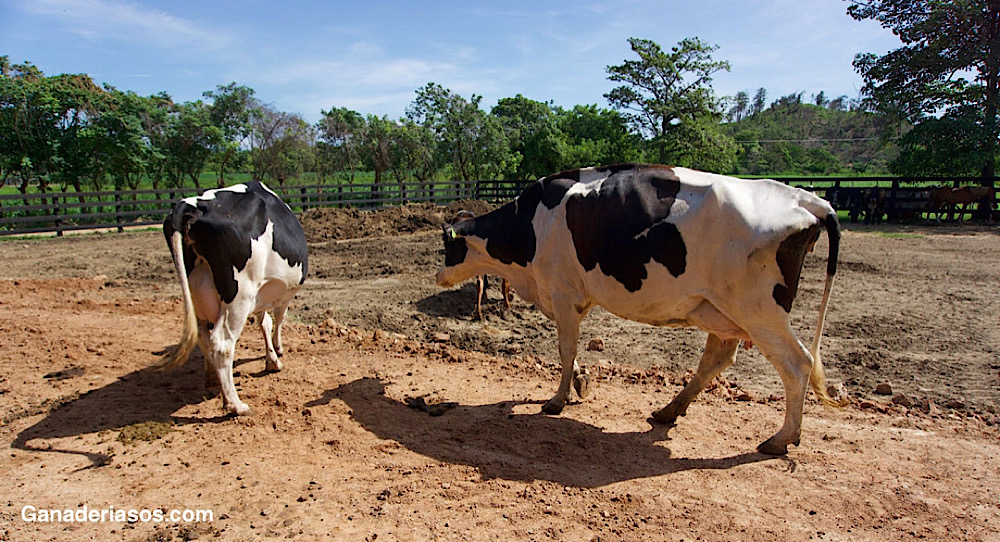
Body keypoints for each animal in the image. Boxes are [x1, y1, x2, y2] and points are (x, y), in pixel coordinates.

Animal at [158, 183, 306, 416]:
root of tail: (193, 204)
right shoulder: (281, 295)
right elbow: (277, 319)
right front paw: (277, 351)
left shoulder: (259, 295)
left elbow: (264, 322)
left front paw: (272, 359)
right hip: (239, 297)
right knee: (222, 344)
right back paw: (235, 404)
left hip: (197, 296)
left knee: (203, 335)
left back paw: (211, 377)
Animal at [438, 164, 844, 456]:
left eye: (447, 247)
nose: (439, 276)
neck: (534, 222)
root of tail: (808, 200)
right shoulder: (566, 298)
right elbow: (572, 352)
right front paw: (581, 382)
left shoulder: (563, 293)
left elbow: (565, 349)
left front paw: (557, 399)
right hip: (720, 310)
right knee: (716, 359)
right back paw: (669, 410)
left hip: (759, 312)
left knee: (797, 364)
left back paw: (782, 438)